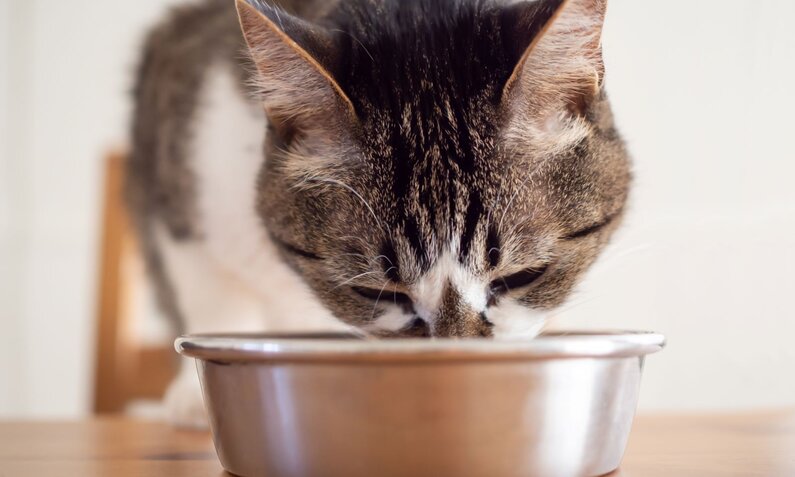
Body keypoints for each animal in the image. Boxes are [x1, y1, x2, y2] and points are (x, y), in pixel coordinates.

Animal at [127, 0, 632, 426]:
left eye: (524, 276)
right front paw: (194, 400)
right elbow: (210, 294)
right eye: (377, 293)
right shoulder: (180, 164)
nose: (457, 359)